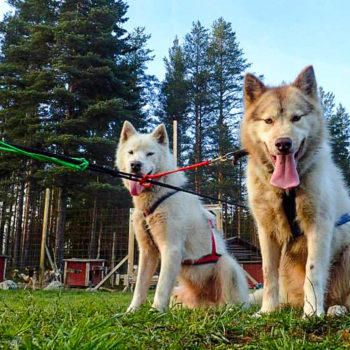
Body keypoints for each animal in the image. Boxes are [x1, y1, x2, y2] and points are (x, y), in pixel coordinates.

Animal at [115, 121, 249, 312]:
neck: (157, 197)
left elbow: (161, 287)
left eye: (150, 153)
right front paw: (131, 312)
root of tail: (206, 303)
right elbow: (140, 287)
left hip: (227, 264)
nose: (135, 165)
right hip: (177, 294)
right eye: (131, 152)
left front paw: (155, 311)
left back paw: (230, 310)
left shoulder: (171, 248)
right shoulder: (147, 252)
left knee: (234, 302)